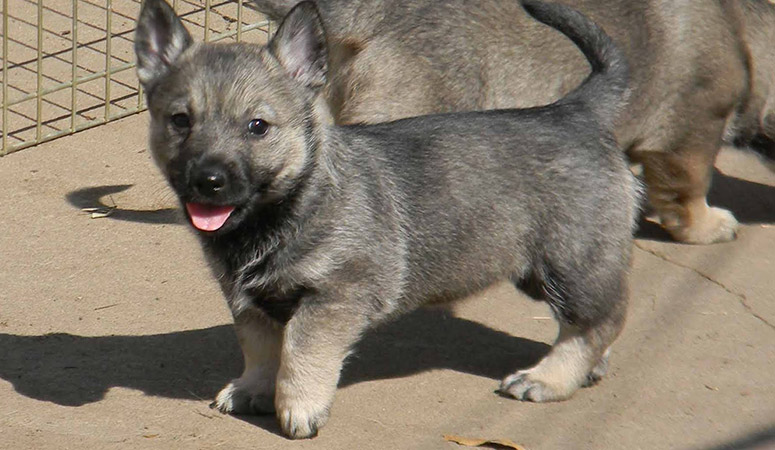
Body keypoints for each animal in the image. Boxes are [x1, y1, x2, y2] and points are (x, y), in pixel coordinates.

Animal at [135, 0, 644, 440]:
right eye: (180, 121)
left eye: (257, 127)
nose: (209, 181)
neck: (293, 202)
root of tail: (575, 110)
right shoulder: (248, 303)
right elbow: (259, 348)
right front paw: (253, 388)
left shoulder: (334, 296)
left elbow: (300, 351)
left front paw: (298, 407)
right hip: (539, 271)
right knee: (601, 317)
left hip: (571, 263)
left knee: (599, 320)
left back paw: (549, 379)